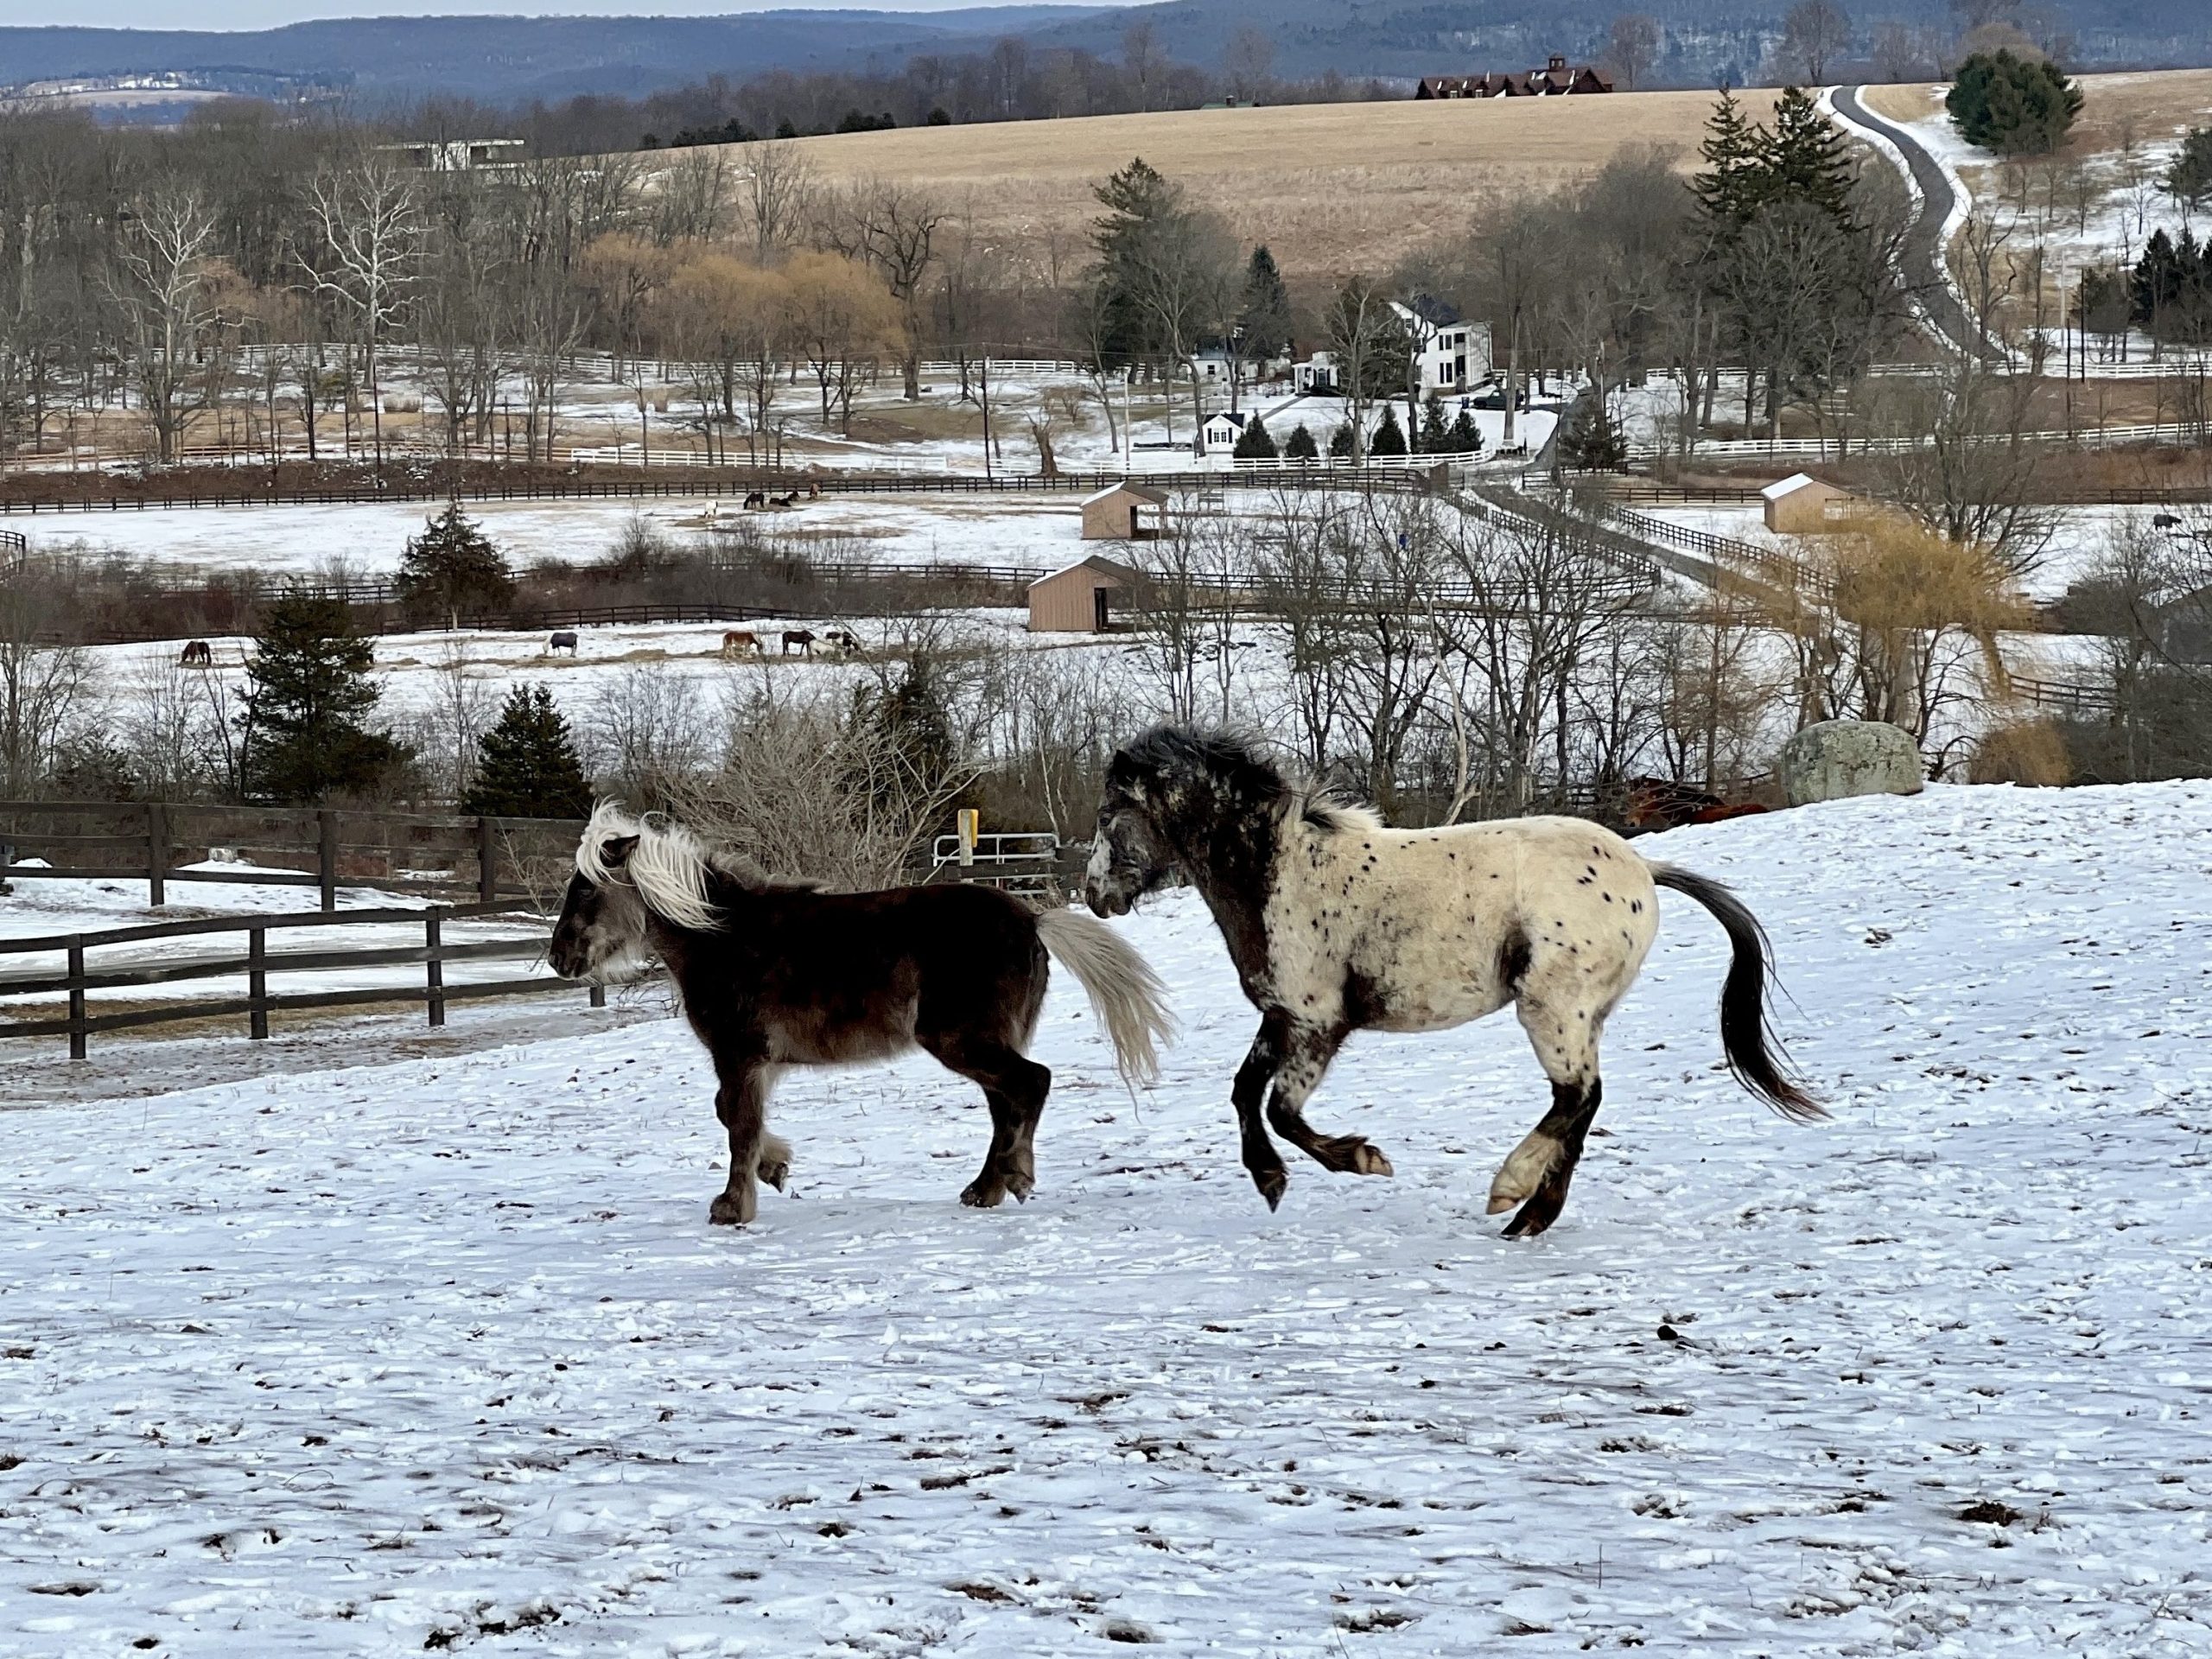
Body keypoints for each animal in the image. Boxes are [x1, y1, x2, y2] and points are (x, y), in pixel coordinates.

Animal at [549, 804, 1172, 1226]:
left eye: (586, 890)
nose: (559, 958)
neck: (721, 937)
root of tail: (1033, 920)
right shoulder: (760, 1062)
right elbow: (735, 1117)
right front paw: (775, 1169)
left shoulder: (738, 1053)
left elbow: (737, 1123)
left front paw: (732, 1206)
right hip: (985, 1038)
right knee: (1009, 1101)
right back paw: (990, 1188)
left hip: (961, 1037)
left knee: (1029, 1084)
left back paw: (1009, 1179)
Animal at [1082, 726, 1821, 1237]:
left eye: (1108, 815)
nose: (1095, 895)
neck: (1282, 871)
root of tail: (1644, 867)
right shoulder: (1283, 1018)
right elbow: (1244, 1094)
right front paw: (1271, 1181)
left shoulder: (1318, 1024)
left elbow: (1281, 1112)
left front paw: (1360, 1160)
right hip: (1582, 1015)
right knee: (1581, 1108)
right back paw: (1530, 1217)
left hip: (1552, 1009)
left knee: (1578, 1097)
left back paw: (1509, 1191)